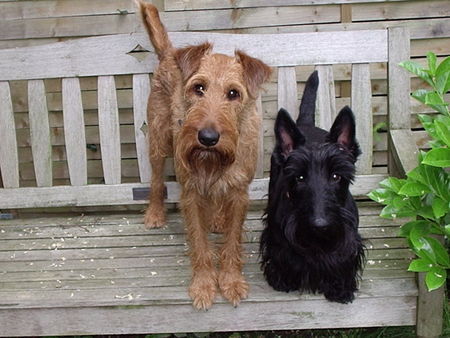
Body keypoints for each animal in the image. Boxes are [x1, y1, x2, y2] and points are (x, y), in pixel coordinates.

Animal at [137, 1, 270, 310]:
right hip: (158, 140)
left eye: (233, 93)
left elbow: (232, 241)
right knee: (156, 178)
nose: (208, 138)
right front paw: (204, 285)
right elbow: (199, 242)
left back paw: (217, 220)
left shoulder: (239, 193)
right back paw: (155, 213)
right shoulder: (191, 192)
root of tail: (170, 53)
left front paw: (230, 281)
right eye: (198, 88)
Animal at [260, 71, 366, 304]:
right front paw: (283, 279)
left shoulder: (347, 243)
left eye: (336, 176)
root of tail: (305, 123)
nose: (320, 225)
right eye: (299, 177)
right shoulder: (279, 241)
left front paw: (340, 288)